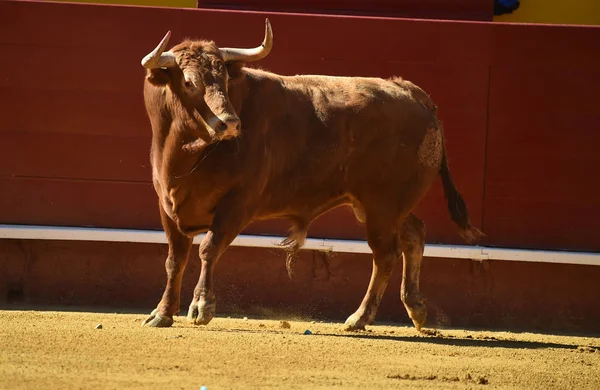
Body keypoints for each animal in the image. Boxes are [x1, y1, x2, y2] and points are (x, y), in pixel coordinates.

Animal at [138, 17, 480, 330]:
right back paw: (415, 309)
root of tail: (410, 91)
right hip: (381, 206)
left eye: (223, 78)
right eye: (189, 82)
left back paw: (359, 317)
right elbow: (174, 260)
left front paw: (201, 307)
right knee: (413, 235)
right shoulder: (166, 206)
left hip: (382, 206)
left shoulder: (237, 205)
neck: (185, 152)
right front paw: (162, 313)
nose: (230, 123)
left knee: (386, 254)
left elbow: (208, 248)